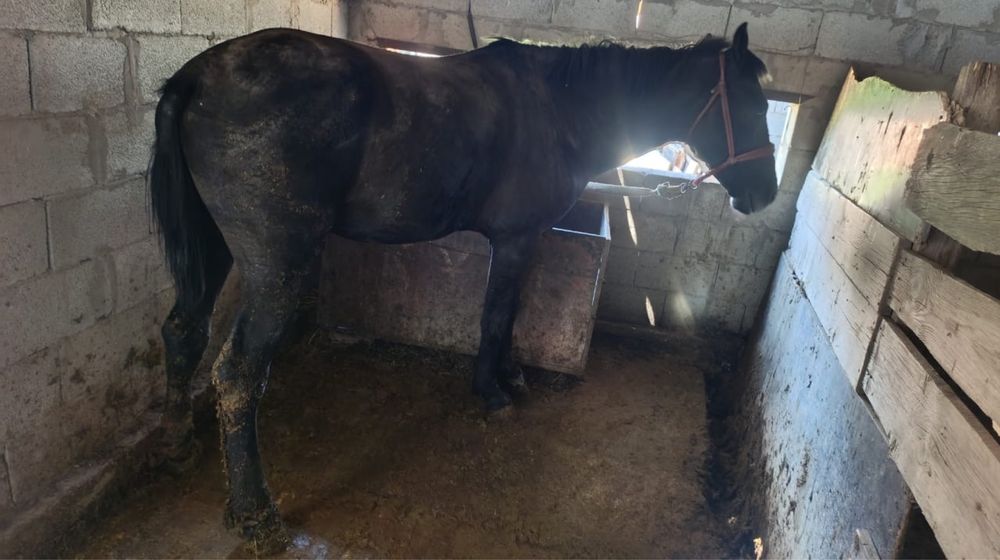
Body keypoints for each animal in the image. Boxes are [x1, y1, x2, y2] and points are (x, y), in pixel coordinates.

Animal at [149, 22, 777, 553]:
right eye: (752, 105)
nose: (765, 195)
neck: (560, 108)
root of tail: (197, 74)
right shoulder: (516, 238)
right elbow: (495, 314)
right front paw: (492, 391)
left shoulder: (525, 240)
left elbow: (512, 309)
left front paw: (511, 374)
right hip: (277, 268)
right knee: (237, 374)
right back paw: (254, 512)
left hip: (213, 246)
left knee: (183, 332)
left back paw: (178, 446)